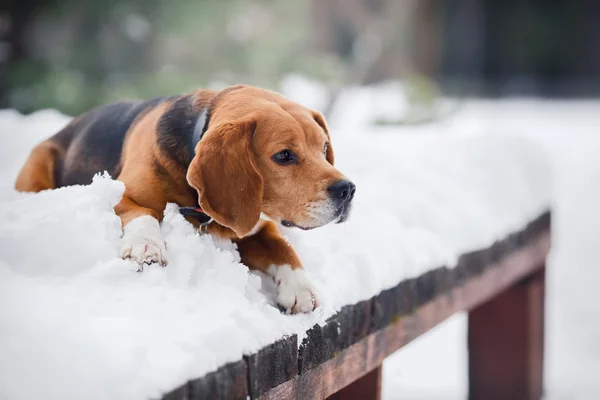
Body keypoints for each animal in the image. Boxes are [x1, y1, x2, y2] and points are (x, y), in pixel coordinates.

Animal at [15, 86, 356, 314]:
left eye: (324, 149)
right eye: (283, 156)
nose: (348, 190)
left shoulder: (255, 226)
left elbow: (283, 247)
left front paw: (301, 287)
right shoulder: (119, 193)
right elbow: (142, 213)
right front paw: (145, 246)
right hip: (40, 162)